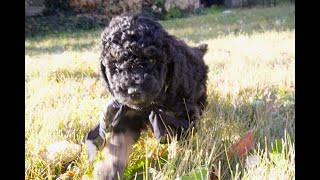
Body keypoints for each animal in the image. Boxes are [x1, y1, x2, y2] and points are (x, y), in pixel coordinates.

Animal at [86, 13, 209, 179]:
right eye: (116, 64)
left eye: (151, 59)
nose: (134, 90)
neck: (151, 105)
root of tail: (197, 50)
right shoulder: (128, 114)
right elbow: (118, 145)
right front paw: (107, 170)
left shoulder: (183, 116)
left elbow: (181, 138)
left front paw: (180, 161)